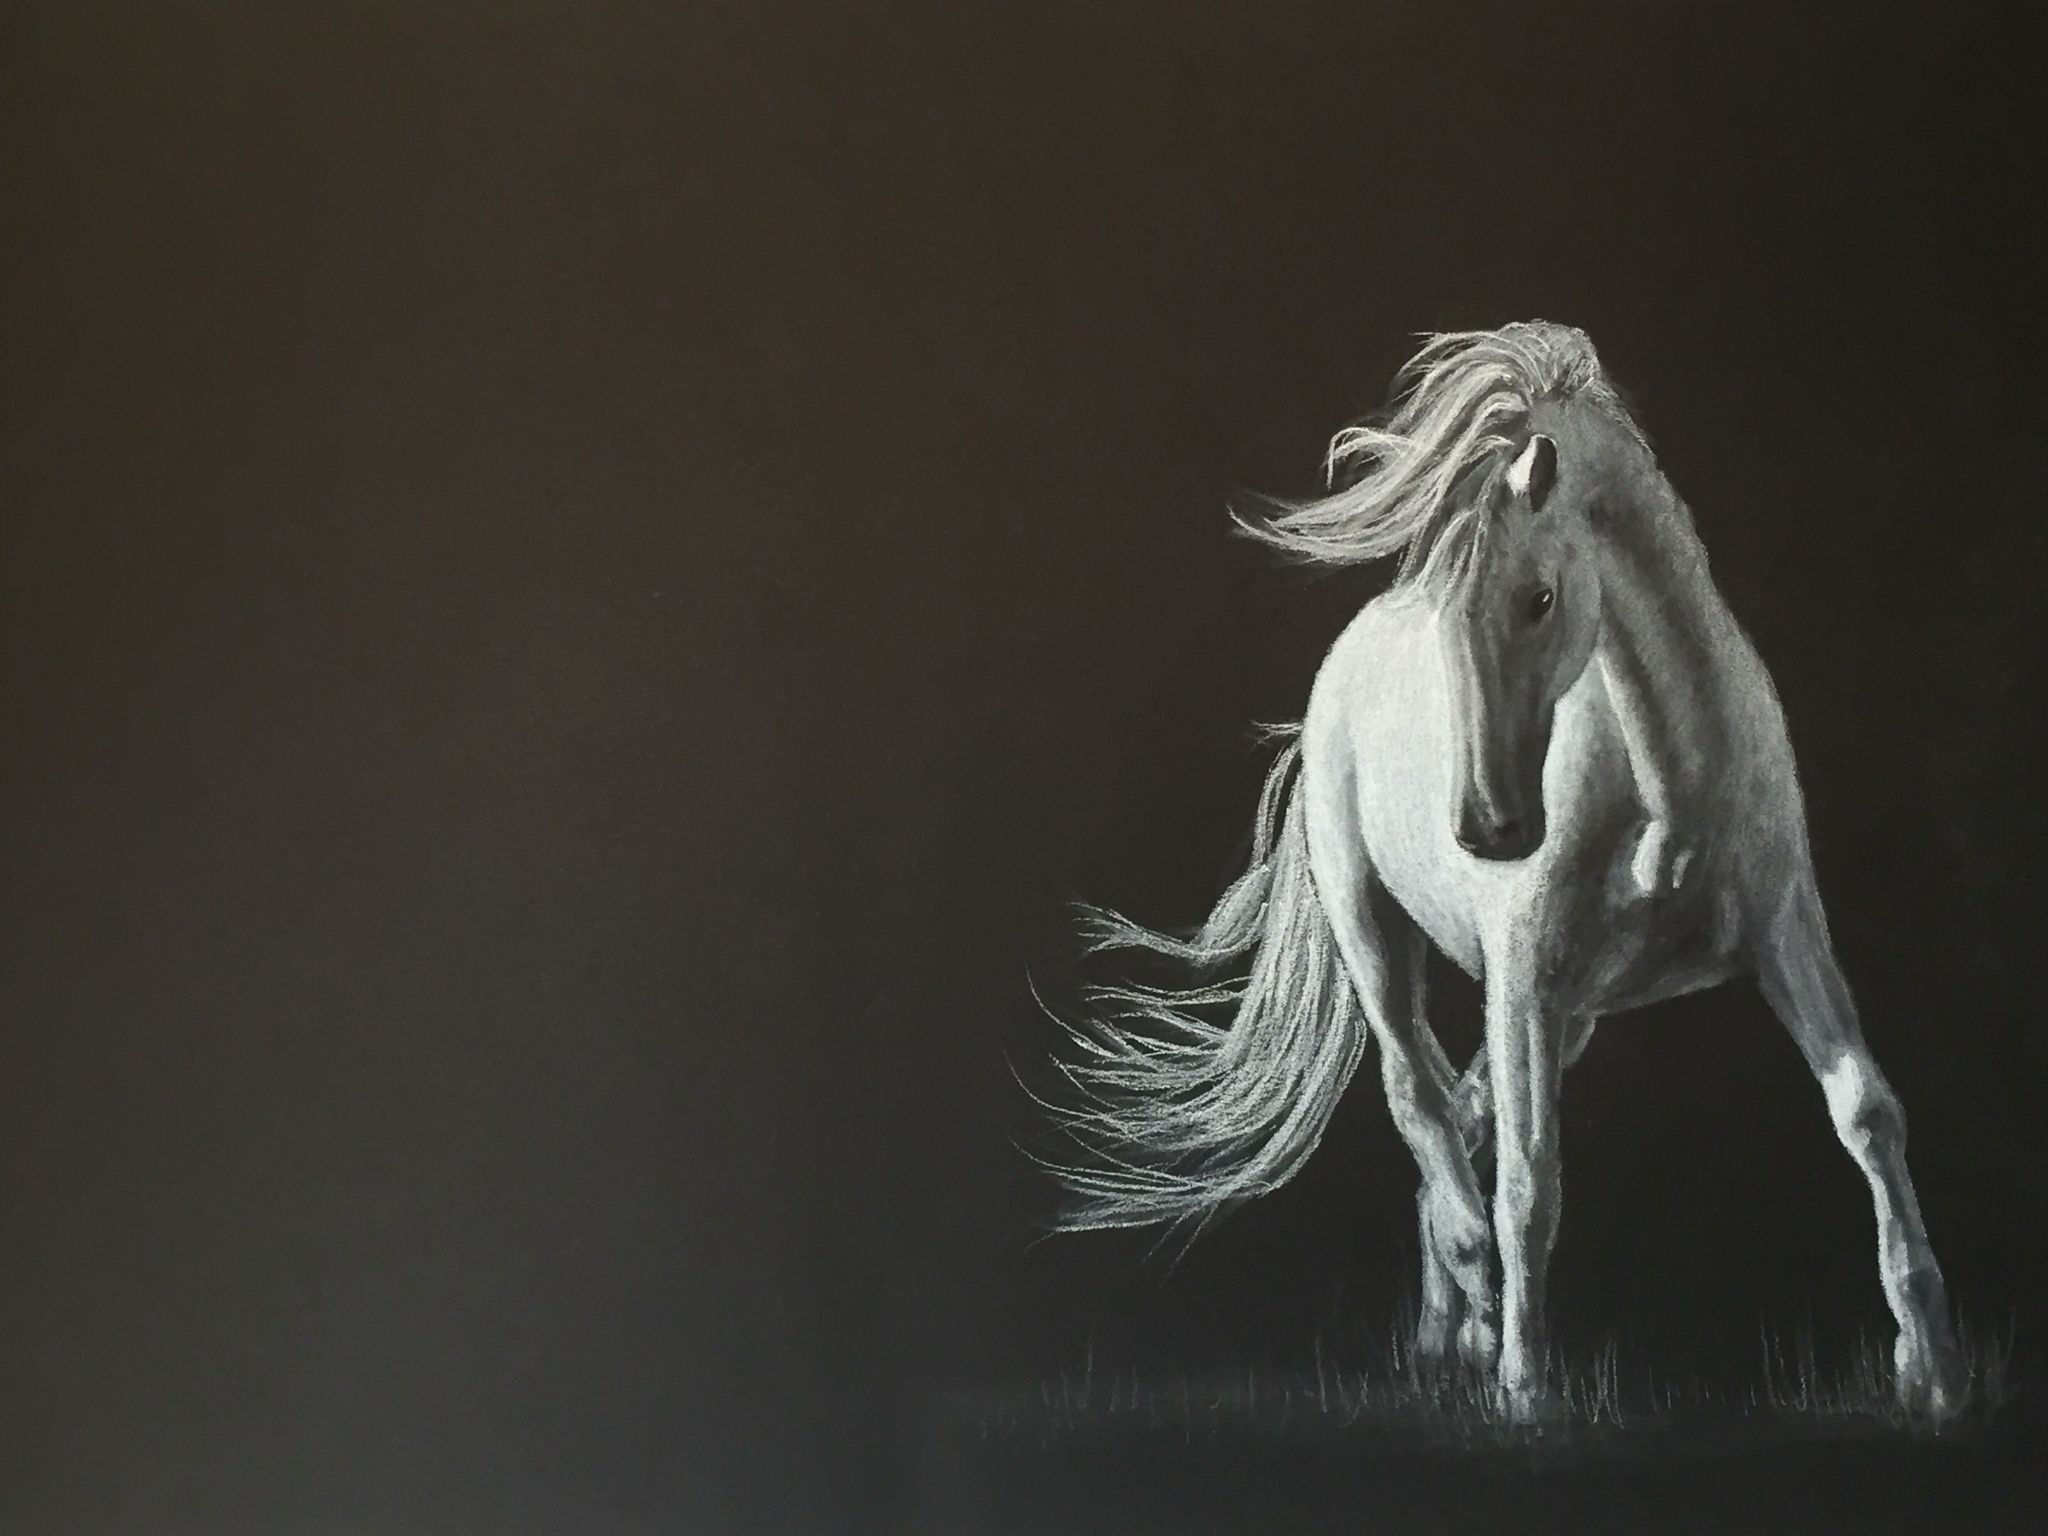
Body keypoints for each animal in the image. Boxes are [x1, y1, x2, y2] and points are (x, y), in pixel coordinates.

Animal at [1041, 320, 1965, 1421]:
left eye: (1540, 599)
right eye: (1455, 619)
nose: (1488, 829)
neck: (1668, 798)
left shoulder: (1785, 938)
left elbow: (1867, 1112)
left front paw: (1929, 1367)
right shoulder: (1523, 978)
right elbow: (1529, 1181)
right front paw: (1527, 1390)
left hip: (1570, 1011)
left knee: (1461, 1111)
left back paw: (1451, 1328)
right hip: (1378, 934)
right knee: (1419, 1095)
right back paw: (1473, 1304)